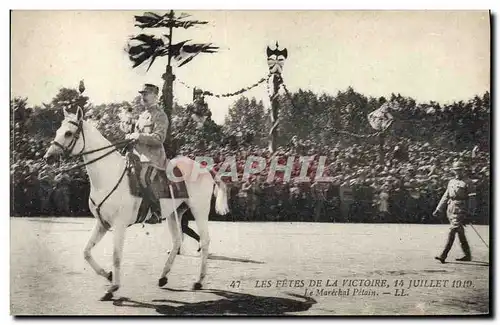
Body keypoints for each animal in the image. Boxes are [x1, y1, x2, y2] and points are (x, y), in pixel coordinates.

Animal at [43, 107, 230, 302]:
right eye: (58, 131)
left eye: (68, 133)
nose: (48, 157)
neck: (108, 175)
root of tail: (205, 168)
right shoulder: (102, 223)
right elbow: (86, 252)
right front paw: (108, 275)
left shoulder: (119, 225)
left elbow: (116, 256)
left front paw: (113, 288)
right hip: (174, 213)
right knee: (177, 241)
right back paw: (163, 277)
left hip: (199, 210)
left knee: (205, 241)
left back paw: (198, 281)